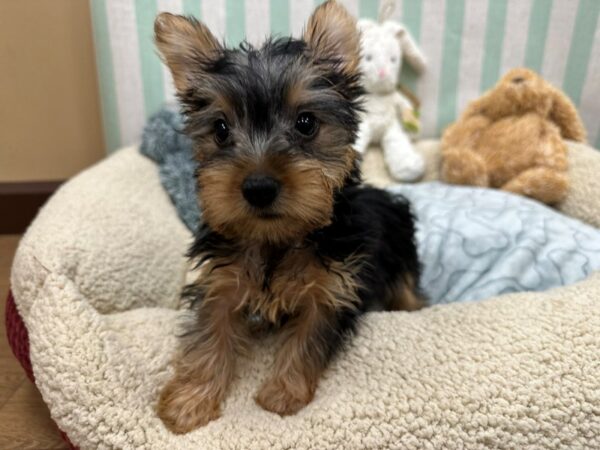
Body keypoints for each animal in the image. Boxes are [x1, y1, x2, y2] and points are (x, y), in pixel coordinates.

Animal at [154, 0, 422, 436]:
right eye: (221, 129)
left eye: (306, 123)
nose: (259, 187)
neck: (278, 237)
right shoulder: (221, 281)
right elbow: (209, 332)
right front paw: (189, 401)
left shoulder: (332, 289)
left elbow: (308, 337)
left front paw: (282, 393)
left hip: (401, 257)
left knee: (408, 290)